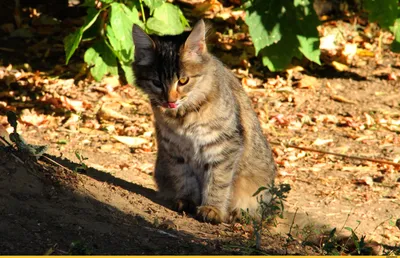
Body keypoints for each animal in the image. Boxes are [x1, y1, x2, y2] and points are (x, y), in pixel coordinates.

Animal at [133, 19, 276, 224]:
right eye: (157, 83)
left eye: (183, 80)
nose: (170, 100)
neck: (183, 117)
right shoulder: (175, 149)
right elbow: (184, 178)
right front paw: (186, 201)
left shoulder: (223, 146)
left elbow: (218, 181)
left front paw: (212, 209)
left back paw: (240, 213)